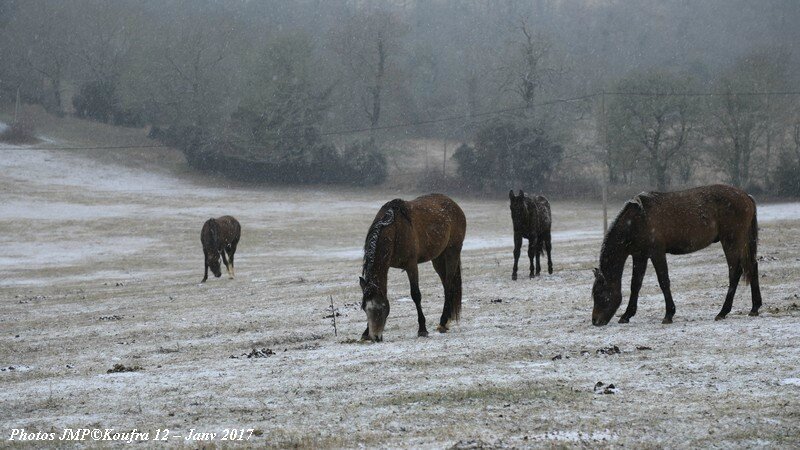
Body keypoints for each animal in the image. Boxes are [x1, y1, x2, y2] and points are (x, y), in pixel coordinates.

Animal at [360, 193, 466, 342]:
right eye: (365, 308)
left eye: (382, 307)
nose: (375, 337)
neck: (395, 230)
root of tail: (455, 205)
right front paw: (365, 332)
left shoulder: (411, 265)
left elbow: (416, 294)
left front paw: (422, 329)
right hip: (438, 259)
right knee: (446, 285)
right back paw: (447, 320)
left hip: (452, 252)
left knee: (449, 286)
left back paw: (443, 322)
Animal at [592, 185, 764, 326]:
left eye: (599, 293)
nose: (595, 321)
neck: (637, 220)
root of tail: (747, 197)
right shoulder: (639, 256)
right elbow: (635, 285)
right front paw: (627, 315)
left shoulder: (657, 253)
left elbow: (663, 281)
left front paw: (669, 314)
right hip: (742, 242)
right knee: (752, 266)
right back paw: (754, 308)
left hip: (731, 241)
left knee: (735, 271)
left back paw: (723, 312)